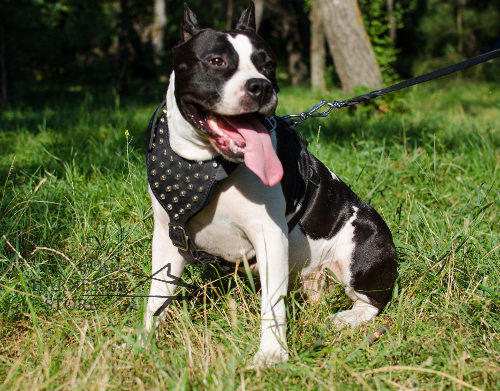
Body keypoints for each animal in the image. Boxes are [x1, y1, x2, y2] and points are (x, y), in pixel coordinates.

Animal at [145, 2, 398, 368]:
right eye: (216, 61)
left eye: (268, 65)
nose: (261, 86)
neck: (207, 165)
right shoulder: (167, 236)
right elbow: (156, 296)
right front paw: (142, 343)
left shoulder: (269, 235)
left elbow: (273, 307)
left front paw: (271, 355)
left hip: (364, 246)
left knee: (372, 302)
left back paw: (348, 317)